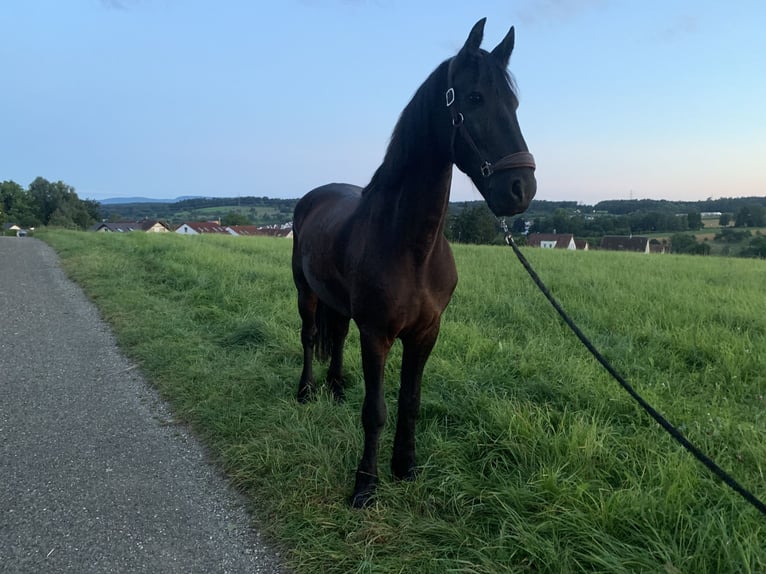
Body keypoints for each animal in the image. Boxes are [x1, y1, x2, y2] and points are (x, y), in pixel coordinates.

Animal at [292, 18, 536, 508]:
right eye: (474, 98)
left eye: (515, 103)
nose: (522, 188)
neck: (412, 249)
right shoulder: (377, 334)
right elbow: (375, 410)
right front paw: (365, 485)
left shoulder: (426, 333)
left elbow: (410, 401)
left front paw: (404, 467)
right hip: (304, 291)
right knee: (310, 337)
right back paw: (307, 391)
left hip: (338, 304)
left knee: (336, 336)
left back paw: (335, 387)